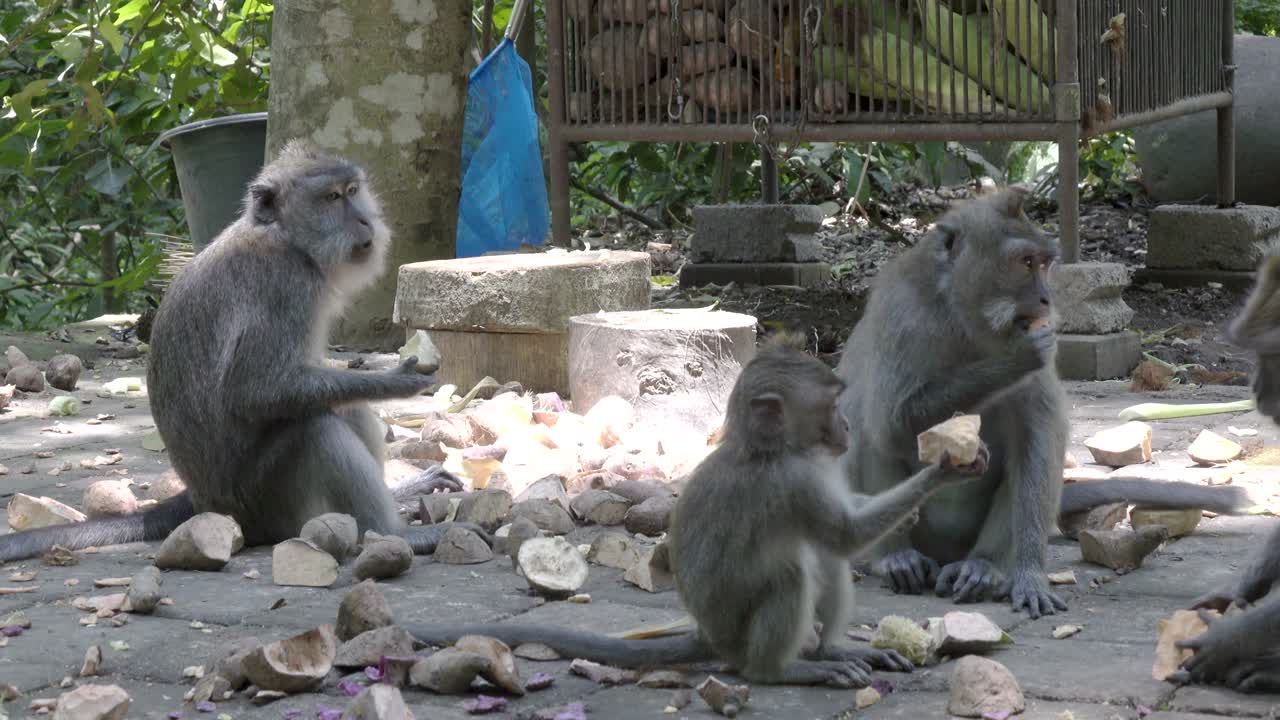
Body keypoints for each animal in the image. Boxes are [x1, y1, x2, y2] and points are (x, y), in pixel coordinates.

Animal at [0, 140, 489, 563]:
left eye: (353, 191)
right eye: (332, 198)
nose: (366, 222)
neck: (285, 238)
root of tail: (202, 502)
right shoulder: (287, 286)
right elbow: (253, 390)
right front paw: (395, 381)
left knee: (341, 406)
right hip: (265, 504)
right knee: (315, 427)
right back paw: (394, 534)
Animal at [406, 335, 991, 688]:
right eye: (830, 405)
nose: (846, 427)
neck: (769, 449)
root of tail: (710, 637)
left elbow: (844, 528)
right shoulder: (791, 481)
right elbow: (845, 533)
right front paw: (941, 473)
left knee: (820, 558)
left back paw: (829, 653)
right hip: (738, 638)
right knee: (793, 572)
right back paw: (783, 672)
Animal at [835, 186, 1253, 620]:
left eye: (1043, 264)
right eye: (1024, 262)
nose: (1045, 298)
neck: (964, 319)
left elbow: (1037, 439)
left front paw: (1028, 577)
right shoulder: (900, 315)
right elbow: (892, 423)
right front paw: (1017, 357)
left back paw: (983, 566)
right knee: (862, 425)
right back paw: (895, 557)